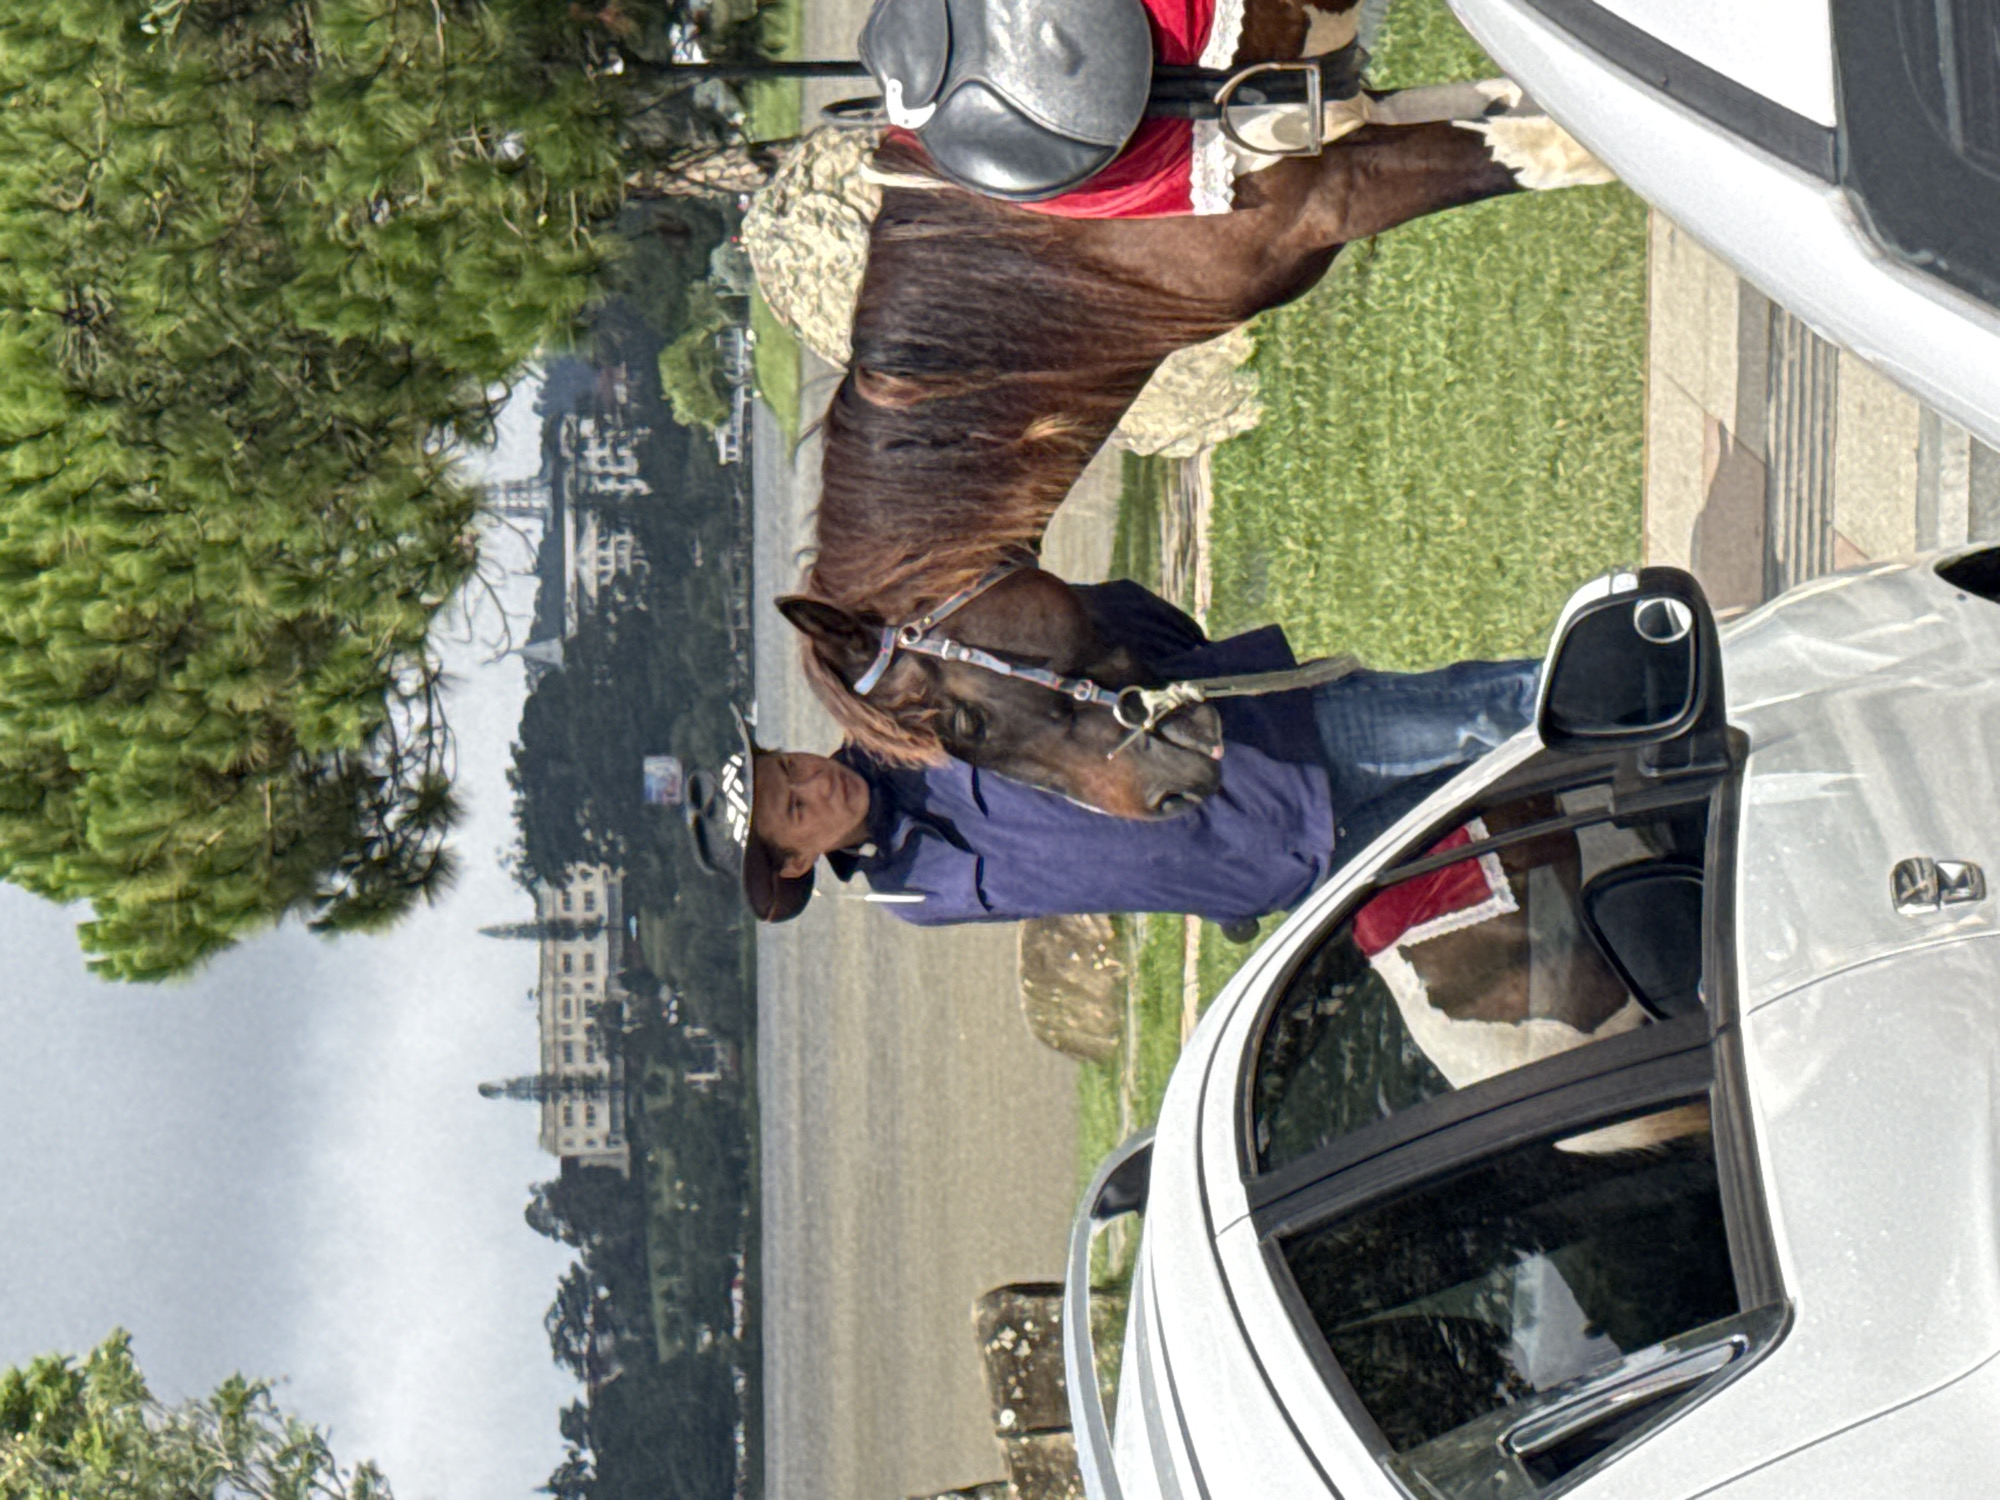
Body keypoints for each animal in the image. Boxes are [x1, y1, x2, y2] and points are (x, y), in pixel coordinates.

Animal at [778, 14, 1609, 815]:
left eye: (964, 724)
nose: (1166, 797)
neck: (1057, 249)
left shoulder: (1337, 187)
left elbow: (1540, 146)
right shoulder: (1349, 122)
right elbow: (1502, 103)